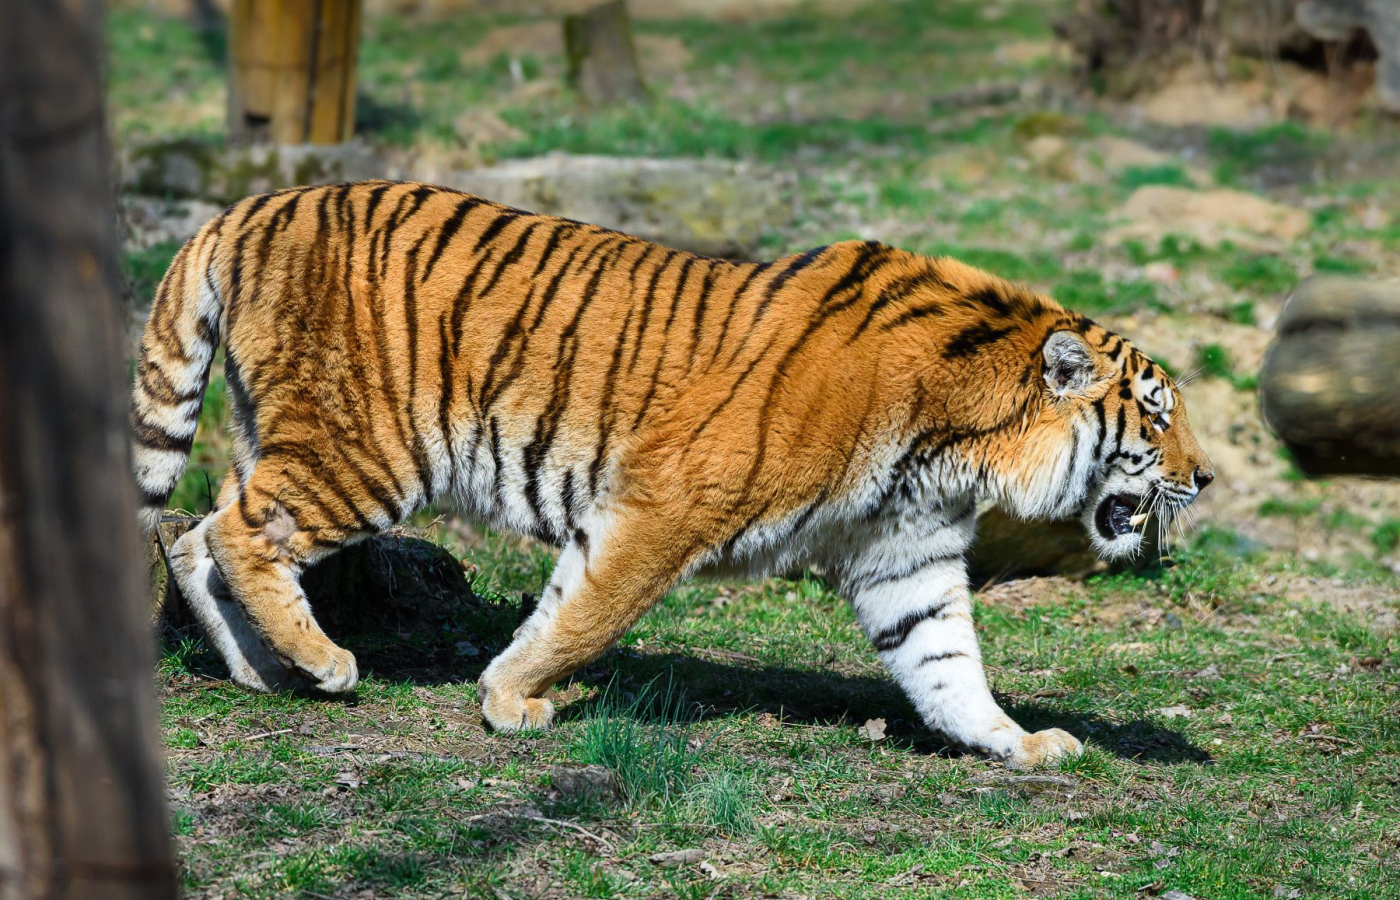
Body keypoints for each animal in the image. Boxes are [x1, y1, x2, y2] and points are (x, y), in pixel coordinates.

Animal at [133, 180, 1213, 767]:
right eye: (1157, 416)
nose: (1203, 480)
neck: (960, 445)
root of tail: (250, 205)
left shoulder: (901, 557)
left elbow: (947, 666)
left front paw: (1017, 744)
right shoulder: (664, 504)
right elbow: (584, 612)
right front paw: (511, 700)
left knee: (196, 533)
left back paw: (261, 673)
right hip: (368, 448)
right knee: (238, 530)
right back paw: (322, 664)